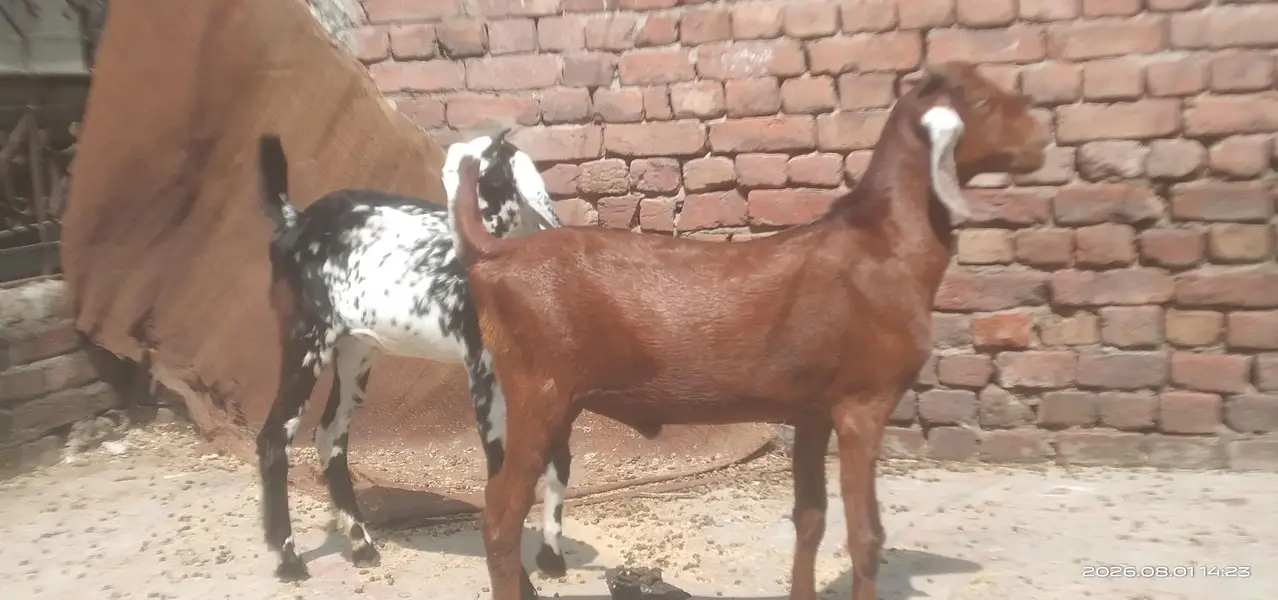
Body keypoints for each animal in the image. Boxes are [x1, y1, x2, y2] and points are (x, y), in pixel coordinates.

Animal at [254, 130, 575, 582]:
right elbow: (502, 471)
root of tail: (294, 220)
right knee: (276, 436)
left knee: (329, 434)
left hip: (356, 350)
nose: (462, 250)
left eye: (488, 181)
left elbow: (558, 459)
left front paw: (551, 558)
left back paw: (361, 543)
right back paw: (290, 559)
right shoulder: (482, 369)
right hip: (306, 337)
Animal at [447, 61, 1049, 600]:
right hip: (537, 391)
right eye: (983, 101)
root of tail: (495, 254)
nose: (1040, 141)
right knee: (500, 517)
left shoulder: (812, 412)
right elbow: (865, 536)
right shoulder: (863, 403)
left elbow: (811, 518)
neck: (881, 241)